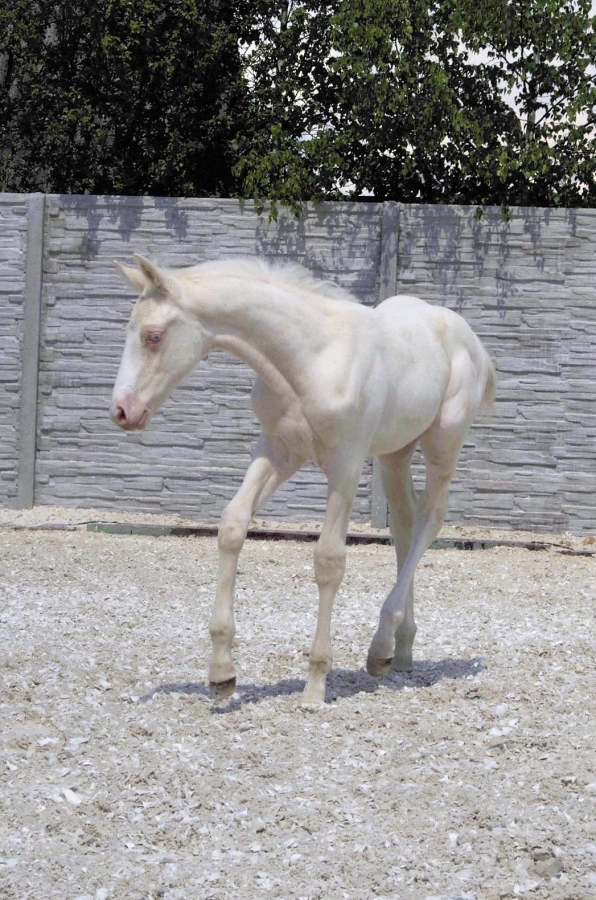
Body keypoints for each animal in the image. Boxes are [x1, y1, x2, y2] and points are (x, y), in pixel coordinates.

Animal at [111, 255, 496, 706]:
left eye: (153, 336)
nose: (122, 410)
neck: (311, 358)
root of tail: (472, 340)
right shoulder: (277, 451)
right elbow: (232, 525)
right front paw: (222, 673)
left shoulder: (346, 467)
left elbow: (329, 560)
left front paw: (315, 682)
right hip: (394, 452)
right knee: (405, 524)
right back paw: (397, 651)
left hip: (442, 443)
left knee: (430, 519)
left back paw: (381, 645)